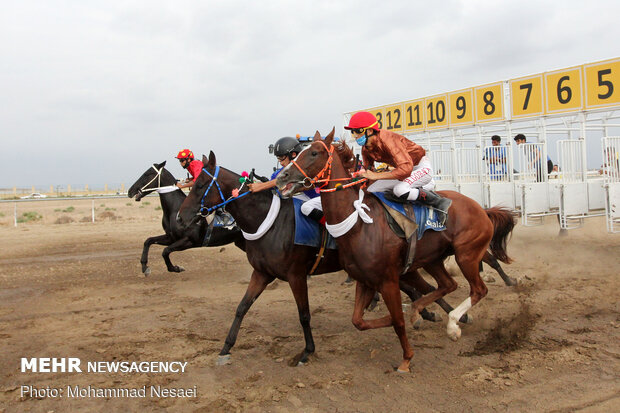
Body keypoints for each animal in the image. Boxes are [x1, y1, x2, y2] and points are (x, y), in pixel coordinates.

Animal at [274, 128, 512, 370]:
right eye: (297, 153)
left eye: (314, 153)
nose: (282, 176)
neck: (359, 223)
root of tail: (482, 209)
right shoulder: (364, 279)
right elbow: (359, 321)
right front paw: (409, 318)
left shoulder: (387, 280)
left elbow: (397, 320)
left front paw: (406, 359)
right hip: (433, 259)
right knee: (448, 284)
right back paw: (419, 311)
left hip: (467, 254)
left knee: (478, 289)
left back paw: (452, 324)